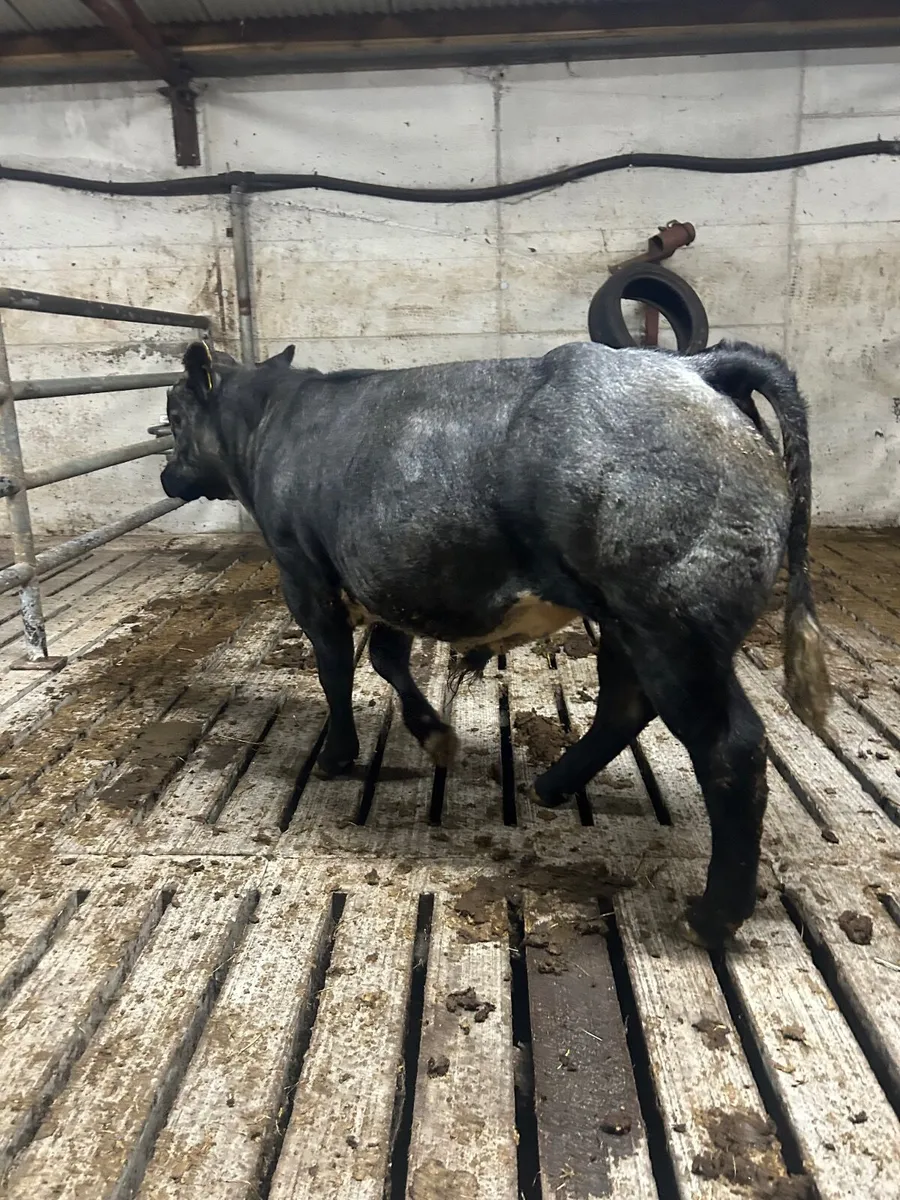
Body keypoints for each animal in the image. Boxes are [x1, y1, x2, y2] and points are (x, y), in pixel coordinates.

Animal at [161, 338, 830, 947]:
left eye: (174, 411)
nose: (167, 475)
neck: (273, 424)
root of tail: (699, 366)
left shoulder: (305, 575)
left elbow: (335, 668)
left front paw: (338, 754)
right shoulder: (386, 581)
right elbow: (386, 658)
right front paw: (433, 733)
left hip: (674, 630)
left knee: (729, 748)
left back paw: (713, 916)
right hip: (628, 624)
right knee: (624, 704)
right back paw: (554, 784)